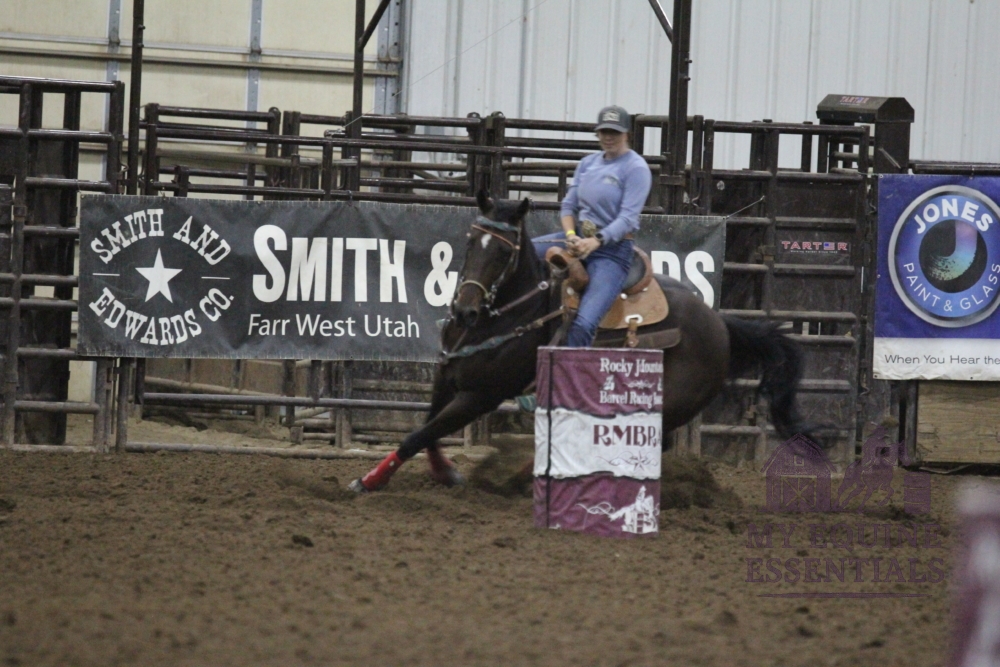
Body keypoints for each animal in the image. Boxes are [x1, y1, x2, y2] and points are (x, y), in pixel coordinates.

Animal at [349, 191, 811, 493]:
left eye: (505, 252)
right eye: (469, 241)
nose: (464, 311)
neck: (506, 315)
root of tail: (720, 323)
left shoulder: (481, 394)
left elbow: (417, 435)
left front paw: (369, 480)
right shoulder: (447, 374)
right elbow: (428, 430)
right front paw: (444, 473)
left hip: (667, 404)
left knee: (646, 446)